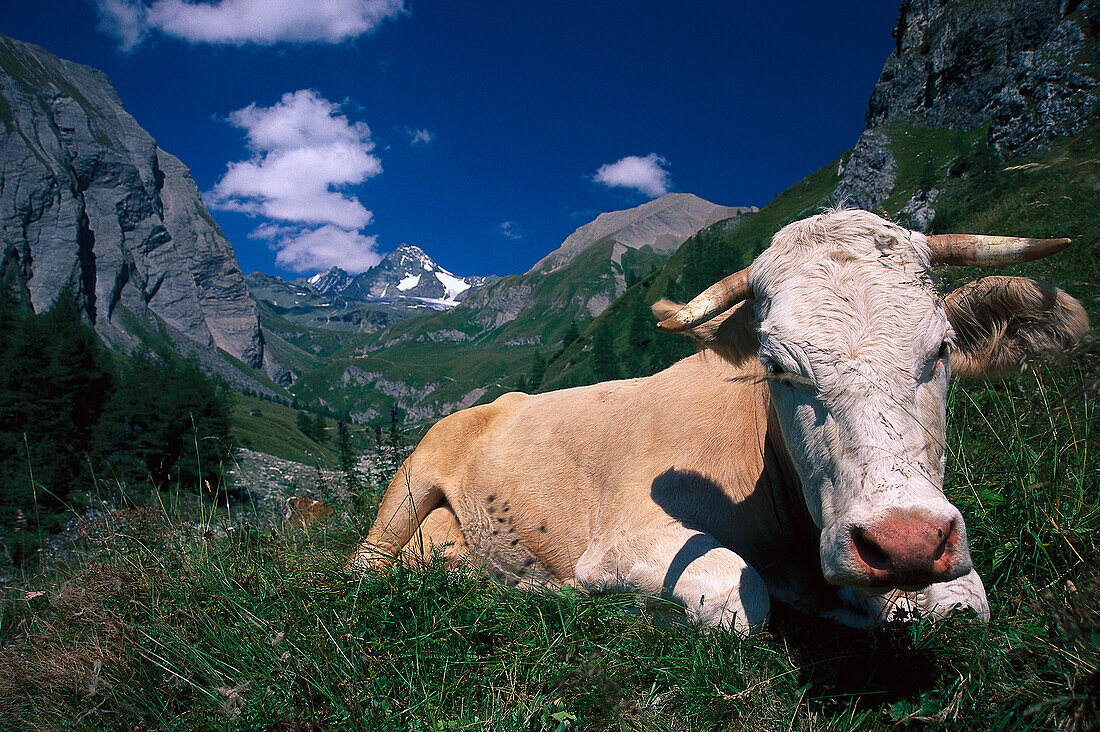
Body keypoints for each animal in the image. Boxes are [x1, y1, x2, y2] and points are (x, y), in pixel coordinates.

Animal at [347, 208, 1086, 629]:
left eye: (943, 348)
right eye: (778, 365)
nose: (903, 540)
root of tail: (501, 401)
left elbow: (965, 606)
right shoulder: (622, 540)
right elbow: (740, 599)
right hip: (407, 488)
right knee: (363, 567)